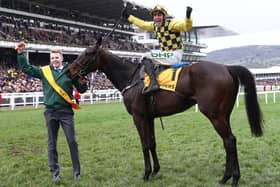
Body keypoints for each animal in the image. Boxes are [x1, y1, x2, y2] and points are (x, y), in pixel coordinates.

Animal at [67, 38, 262, 186]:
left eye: (87, 53)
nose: (69, 70)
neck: (131, 77)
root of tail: (226, 68)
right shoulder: (149, 117)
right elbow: (152, 143)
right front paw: (155, 171)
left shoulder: (138, 117)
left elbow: (144, 144)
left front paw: (146, 174)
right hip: (223, 114)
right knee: (227, 141)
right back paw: (225, 177)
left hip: (214, 115)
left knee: (229, 140)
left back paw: (234, 178)